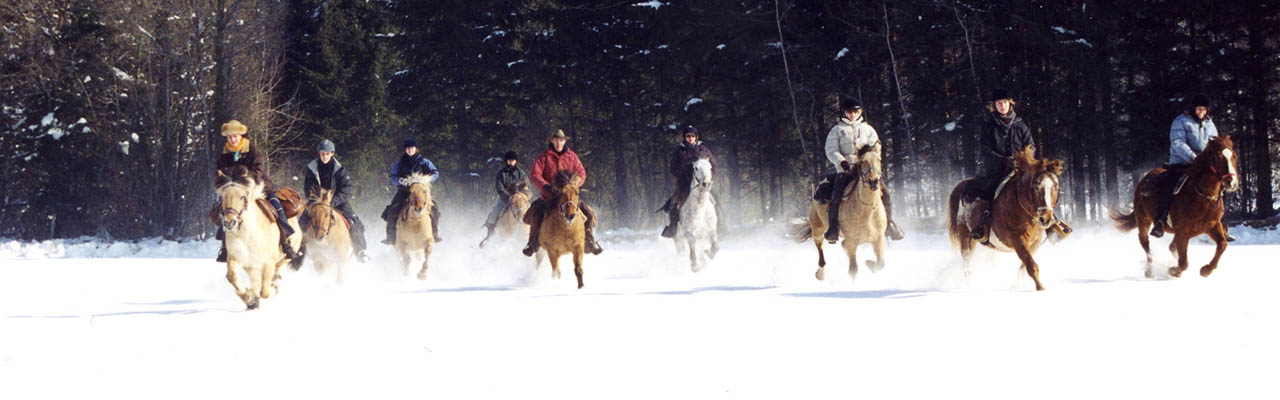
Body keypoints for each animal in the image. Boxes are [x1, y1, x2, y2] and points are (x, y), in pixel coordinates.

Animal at [788, 144, 890, 280]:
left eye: (879, 160)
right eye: (862, 162)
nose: (873, 181)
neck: (867, 211)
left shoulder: (878, 239)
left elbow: (881, 264)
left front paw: (869, 264)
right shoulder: (852, 240)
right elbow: (853, 270)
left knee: (842, 245)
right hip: (818, 228)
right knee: (820, 246)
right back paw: (820, 274)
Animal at [947, 146, 1064, 291]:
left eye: (1056, 187)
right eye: (1036, 187)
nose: (1046, 218)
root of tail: (964, 184)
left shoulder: (1035, 242)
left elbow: (1024, 266)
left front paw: (1017, 285)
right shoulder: (1018, 240)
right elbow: (1031, 265)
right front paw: (1040, 288)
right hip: (965, 236)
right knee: (966, 260)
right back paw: (967, 283)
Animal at [1111, 135, 1239, 279]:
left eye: (1234, 156)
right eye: (1217, 157)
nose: (1232, 183)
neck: (1202, 198)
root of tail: (1144, 180)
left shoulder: (1213, 226)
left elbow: (1222, 244)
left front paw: (1206, 270)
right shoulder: (1182, 232)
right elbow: (1183, 263)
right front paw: (1173, 271)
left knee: (1171, 246)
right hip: (1143, 220)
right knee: (1145, 242)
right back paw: (1150, 271)